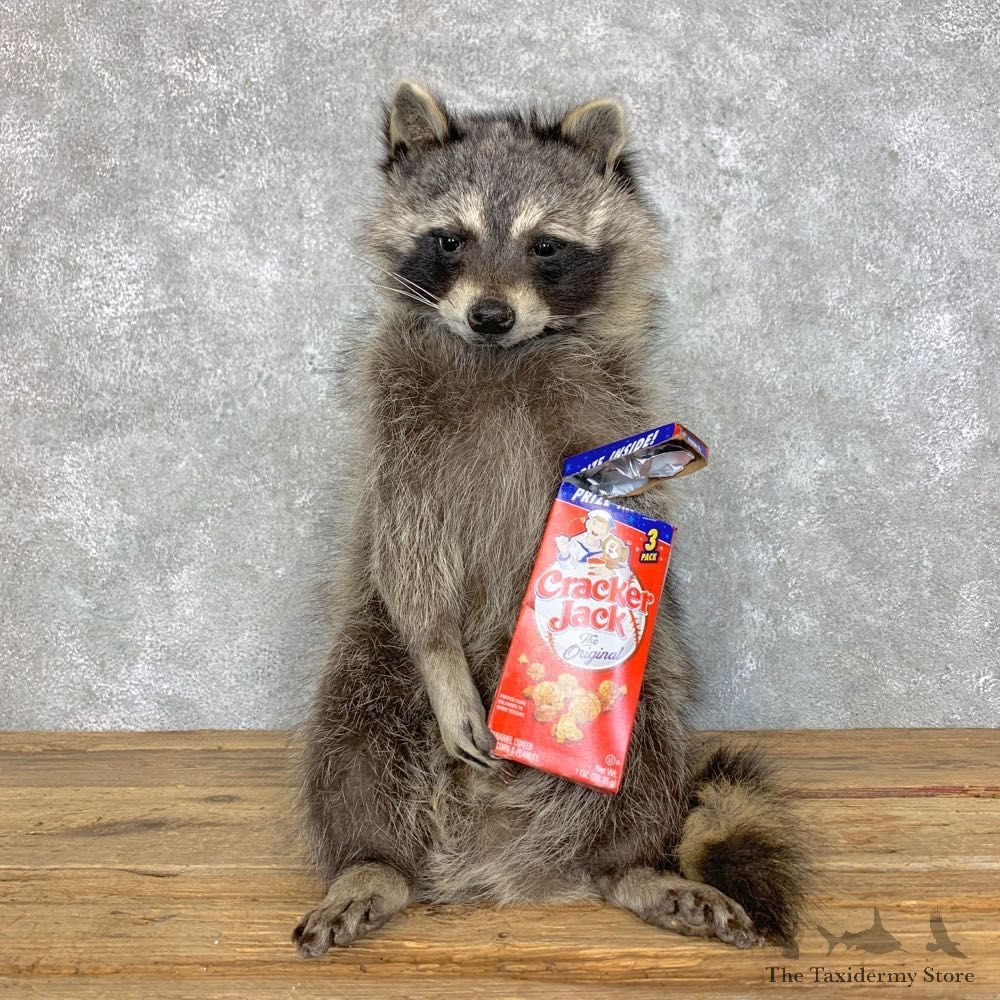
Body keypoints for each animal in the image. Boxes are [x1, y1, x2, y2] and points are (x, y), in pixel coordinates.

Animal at [292, 82, 807, 957]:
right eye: (450, 239)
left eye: (545, 247)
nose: (492, 315)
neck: (502, 357)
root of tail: (487, 854)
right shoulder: (397, 423)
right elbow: (406, 541)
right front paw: (441, 651)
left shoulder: (610, 411)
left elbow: (629, 510)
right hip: (369, 650)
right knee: (349, 734)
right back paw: (371, 862)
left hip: (642, 706)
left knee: (650, 750)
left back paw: (630, 865)